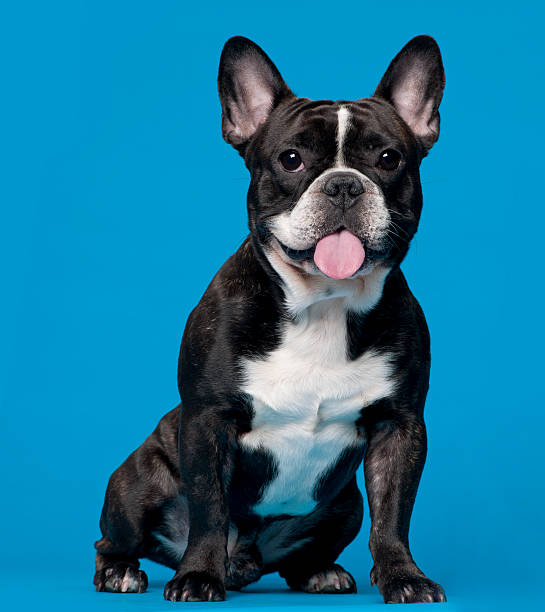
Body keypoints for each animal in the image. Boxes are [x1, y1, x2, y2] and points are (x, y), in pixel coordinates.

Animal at [91, 33, 444, 604]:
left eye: (390, 159)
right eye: (292, 160)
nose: (343, 185)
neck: (322, 305)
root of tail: (247, 563)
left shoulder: (401, 427)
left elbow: (393, 514)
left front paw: (403, 576)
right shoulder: (207, 422)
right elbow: (209, 511)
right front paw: (198, 576)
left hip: (344, 506)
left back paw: (319, 571)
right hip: (136, 486)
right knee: (113, 538)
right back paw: (122, 571)